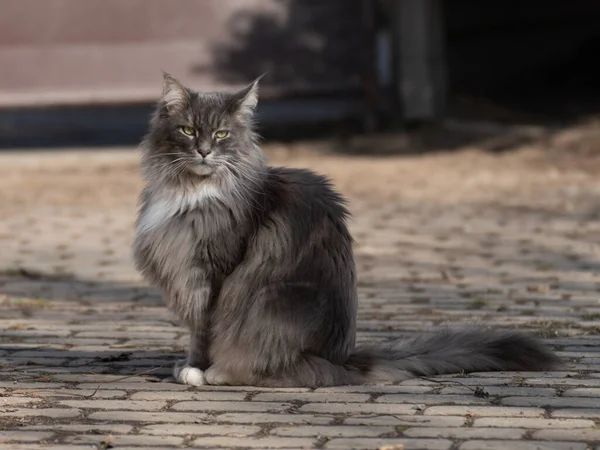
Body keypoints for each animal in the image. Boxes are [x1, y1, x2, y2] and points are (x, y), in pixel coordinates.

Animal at [131, 74, 556, 386]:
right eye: (188, 130)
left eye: (221, 135)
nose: (204, 151)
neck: (193, 191)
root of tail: (343, 359)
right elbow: (194, 331)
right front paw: (188, 364)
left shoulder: (213, 272)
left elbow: (204, 330)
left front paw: (197, 370)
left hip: (275, 300)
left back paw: (219, 373)